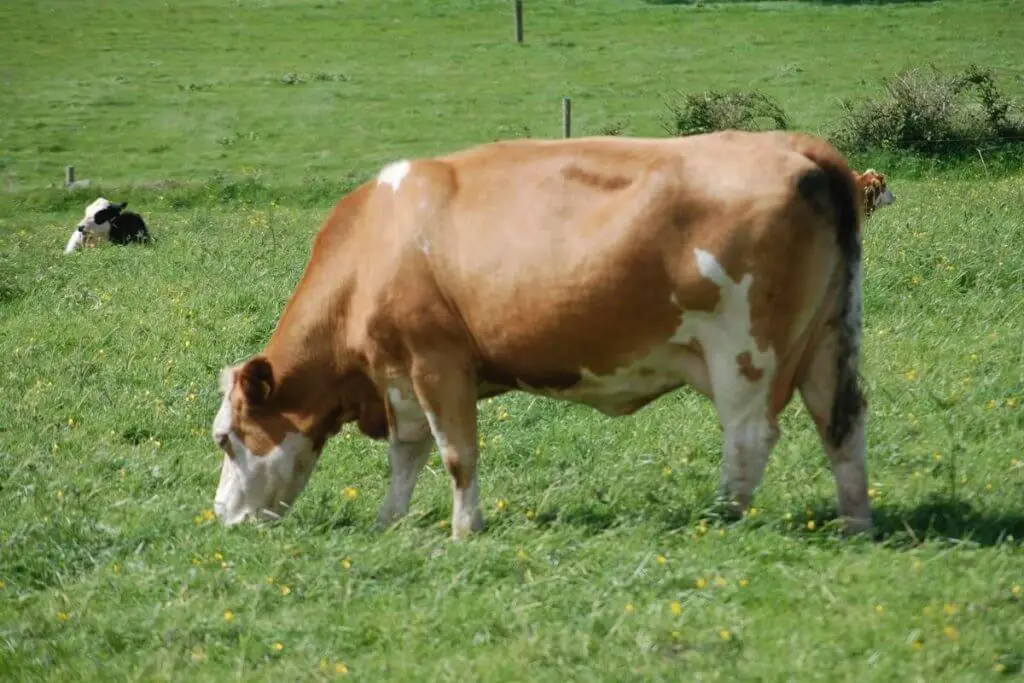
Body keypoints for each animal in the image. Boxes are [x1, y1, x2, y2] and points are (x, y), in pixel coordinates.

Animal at [211, 131, 868, 540]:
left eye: (225, 438)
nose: (219, 515)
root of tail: (797, 144)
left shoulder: (436, 359)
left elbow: (455, 453)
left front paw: (464, 529)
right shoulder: (397, 372)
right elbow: (408, 452)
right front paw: (388, 522)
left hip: (744, 352)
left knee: (749, 436)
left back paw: (721, 517)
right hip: (828, 340)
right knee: (843, 423)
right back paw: (855, 522)